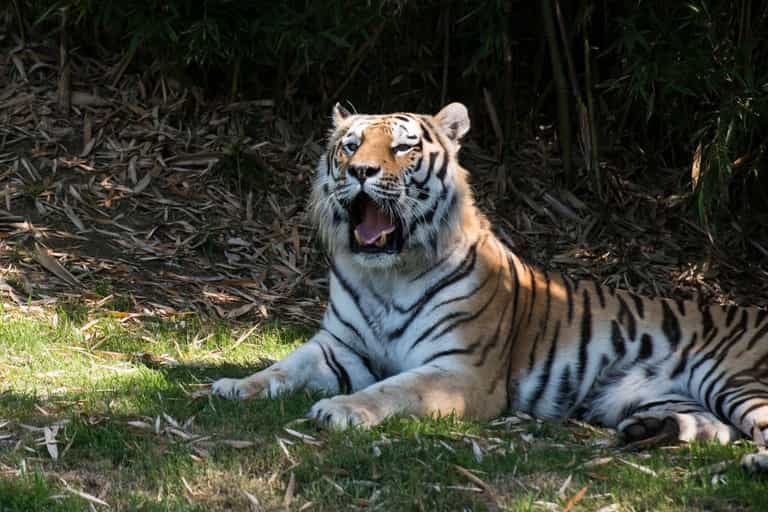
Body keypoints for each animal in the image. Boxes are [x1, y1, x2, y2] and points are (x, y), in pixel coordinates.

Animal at [212, 102, 768, 450]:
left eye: (403, 148)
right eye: (350, 146)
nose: (360, 172)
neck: (386, 276)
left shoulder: (461, 370)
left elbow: (394, 390)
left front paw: (342, 409)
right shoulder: (338, 347)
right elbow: (282, 367)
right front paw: (233, 386)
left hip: (732, 379)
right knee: (714, 428)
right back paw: (648, 430)